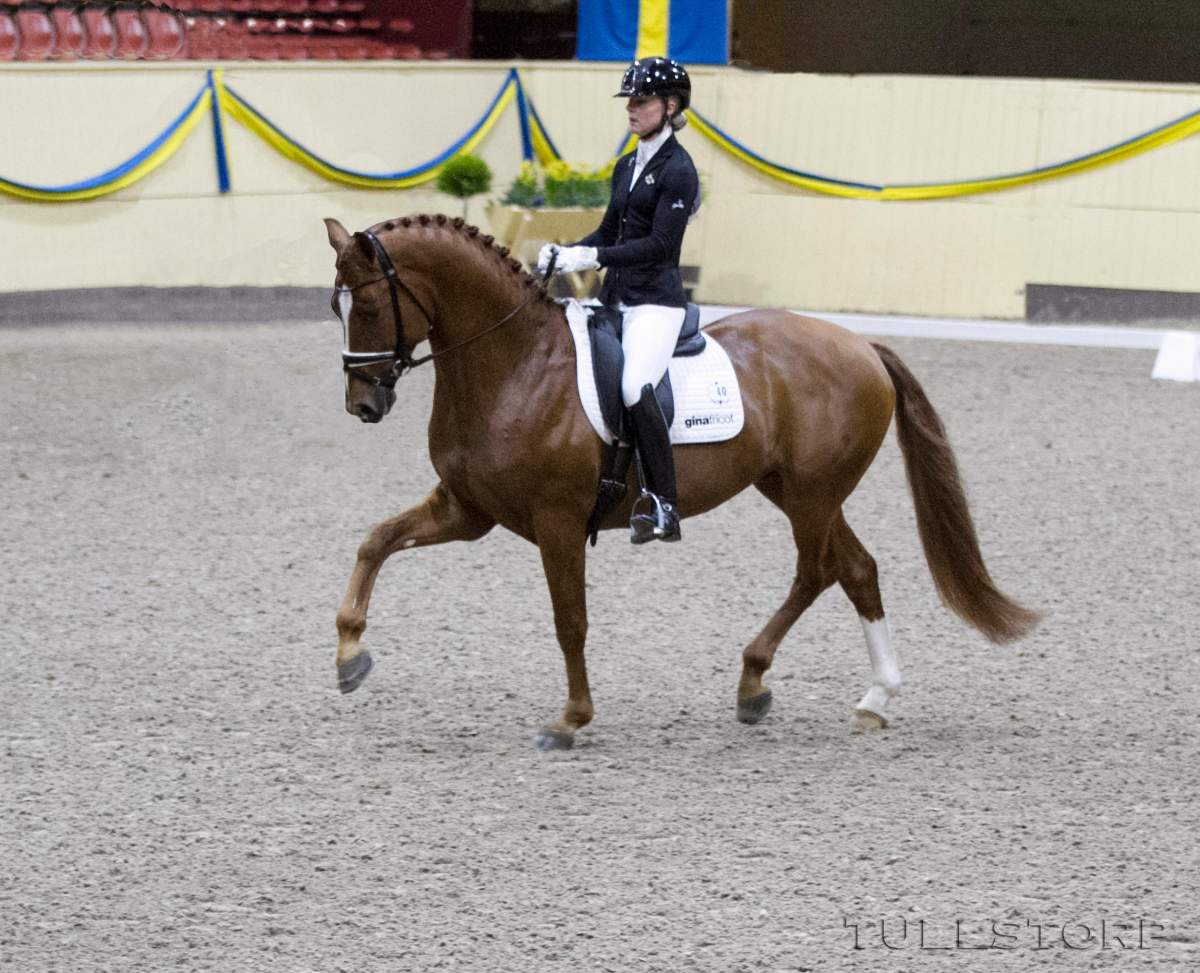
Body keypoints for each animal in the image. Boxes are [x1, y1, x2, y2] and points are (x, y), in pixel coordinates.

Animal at [324, 213, 1039, 750]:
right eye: (336, 305)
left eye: (368, 304)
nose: (362, 405)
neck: (515, 363)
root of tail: (862, 346)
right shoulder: (467, 510)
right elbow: (375, 541)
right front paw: (349, 655)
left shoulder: (557, 522)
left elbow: (570, 620)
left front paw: (570, 719)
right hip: (795, 489)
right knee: (856, 568)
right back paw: (873, 697)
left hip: (812, 494)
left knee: (816, 572)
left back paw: (757, 683)